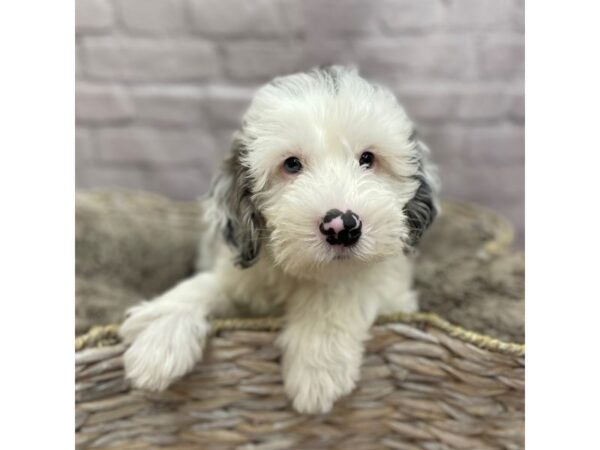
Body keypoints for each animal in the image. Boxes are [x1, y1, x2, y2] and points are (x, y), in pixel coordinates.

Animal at [119, 65, 438, 414]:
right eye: (291, 164)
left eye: (368, 158)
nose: (342, 226)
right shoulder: (243, 280)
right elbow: (207, 285)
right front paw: (159, 336)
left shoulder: (391, 290)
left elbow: (342, 290)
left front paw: (316, 368)